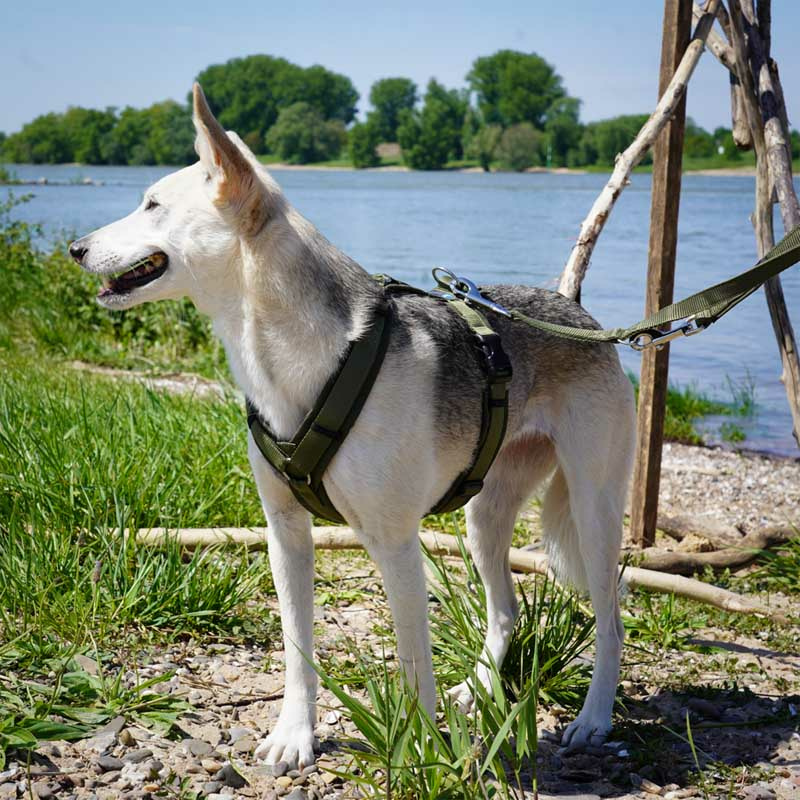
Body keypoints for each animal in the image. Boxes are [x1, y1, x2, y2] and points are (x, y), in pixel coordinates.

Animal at [72, 81, 636, 768]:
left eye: (152, 204)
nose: (74, 248)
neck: (293, 355)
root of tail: (576, 312)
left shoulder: (395, 542)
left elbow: (414, 663)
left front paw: (420, 750)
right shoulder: (285, 532)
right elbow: (298, 649)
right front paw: (296, 734)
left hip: (593, 509)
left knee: (611, 621)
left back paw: (594, 718)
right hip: (485, 514)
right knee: (505, 611)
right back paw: (477, 690)